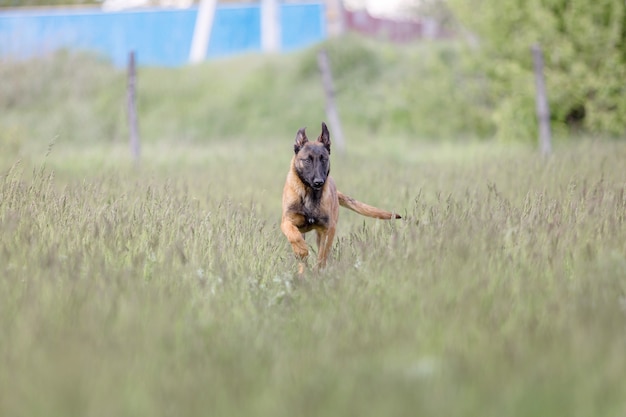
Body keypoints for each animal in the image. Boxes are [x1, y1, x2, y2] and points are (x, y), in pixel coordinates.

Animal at [280, 122, 400, 272]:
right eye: (307, 160)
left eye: (324, 159)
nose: (319, 182)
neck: (309, 194)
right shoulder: (287, 221)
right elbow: (293, 235)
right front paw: (301, 250)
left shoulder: (328, 229)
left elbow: (322, 255)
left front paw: (318, 271)